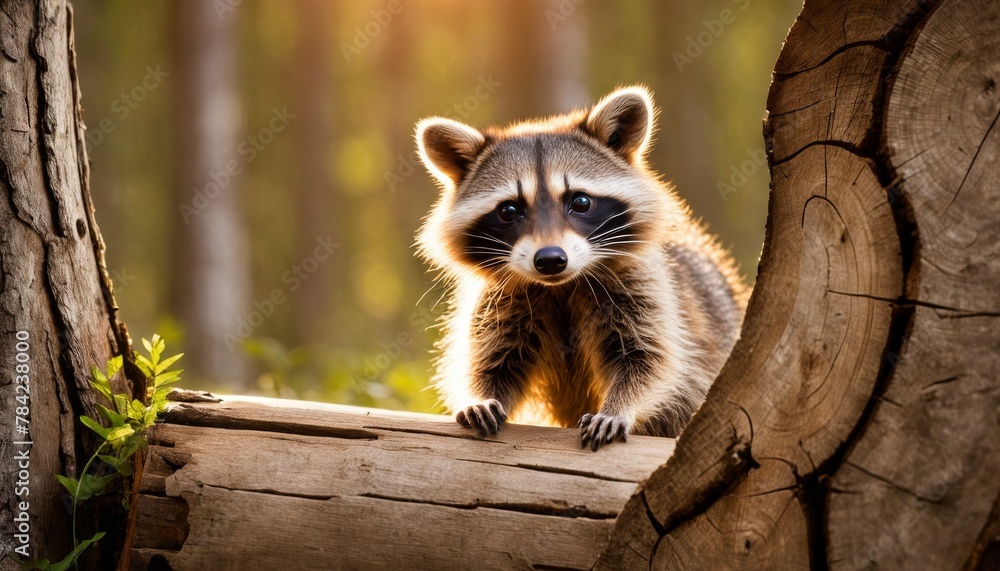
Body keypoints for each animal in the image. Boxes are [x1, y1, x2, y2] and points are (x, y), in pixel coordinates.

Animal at [415, 86, 748, 450]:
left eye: (581, 202)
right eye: (509, 210)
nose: (550, 259)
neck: (560, 286)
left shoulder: (644, 287)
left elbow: (651, 360)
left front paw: (619, 407)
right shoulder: (498, 301)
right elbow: (493, 360)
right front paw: (480, 395)